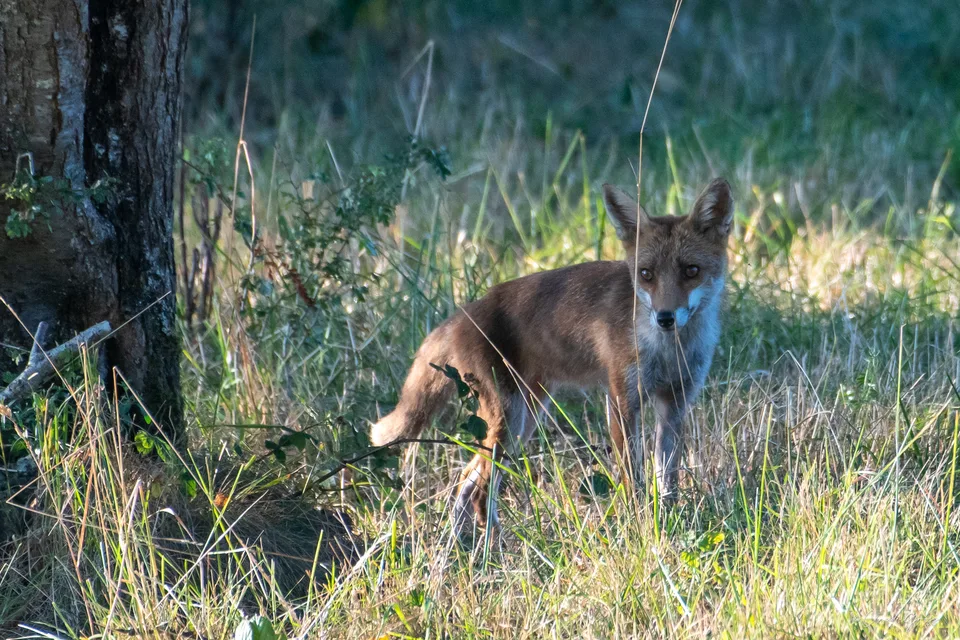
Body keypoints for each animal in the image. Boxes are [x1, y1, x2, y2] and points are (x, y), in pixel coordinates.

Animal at [371, 178, 734, 530]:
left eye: (691, 271)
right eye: (646, 274)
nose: (665, 317)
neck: (669, 351)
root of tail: (464, 312)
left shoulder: (675, 403)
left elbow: (667, 479)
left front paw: (669, 521)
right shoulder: (620, 400)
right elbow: (633, 480)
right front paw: (640, 526)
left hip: (525, 419)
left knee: (465, 483)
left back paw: (465, 550)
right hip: (509, 421)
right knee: (479, 493)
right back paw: (496, 548)